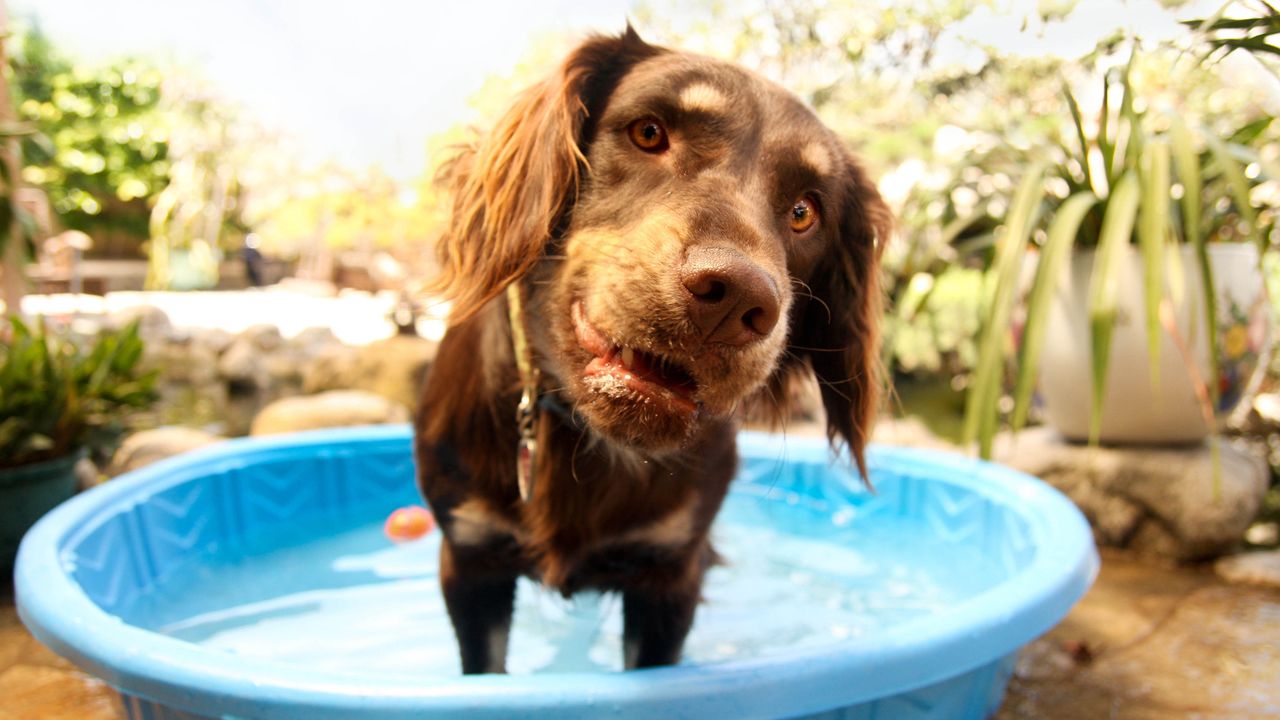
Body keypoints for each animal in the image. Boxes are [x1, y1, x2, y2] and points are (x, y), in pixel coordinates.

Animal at [414, 25, 885, 671]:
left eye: (803, 211)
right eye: (648, 134)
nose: (735, 299)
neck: (586, 443)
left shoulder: (670, 575)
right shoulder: (469, 560)